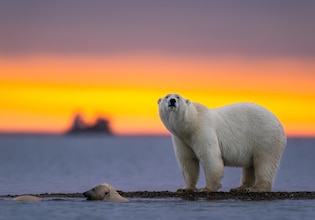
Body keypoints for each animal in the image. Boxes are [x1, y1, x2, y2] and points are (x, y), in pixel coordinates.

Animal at [159, 93, 288, 192]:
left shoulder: (203, 130)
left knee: (265, 162)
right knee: (250, 166)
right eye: (166, 96)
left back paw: (255, 188)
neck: (191, 124)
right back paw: (239, 188)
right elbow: (188, 161)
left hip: (265, 137)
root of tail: (279, 123)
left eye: (178, 96)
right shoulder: (181, 139)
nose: (172, 101)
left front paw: (206, 188)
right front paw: (185, 188)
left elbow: (210, 157)